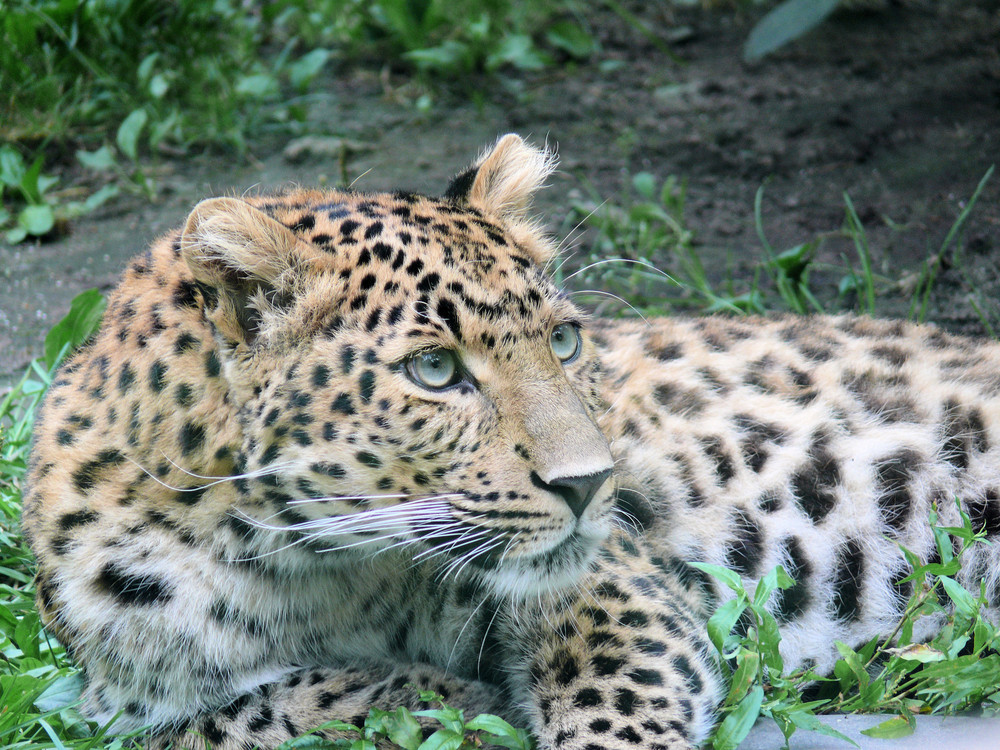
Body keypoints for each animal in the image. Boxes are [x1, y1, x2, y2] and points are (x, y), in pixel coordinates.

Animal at [19, 137, 1000, 750]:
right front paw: (434, 702)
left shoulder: (616, 587)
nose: (593, 485)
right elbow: (226, 721)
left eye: (561, 342)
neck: (297, 577)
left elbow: (611, 698)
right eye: (434, 369)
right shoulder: (115, 701)